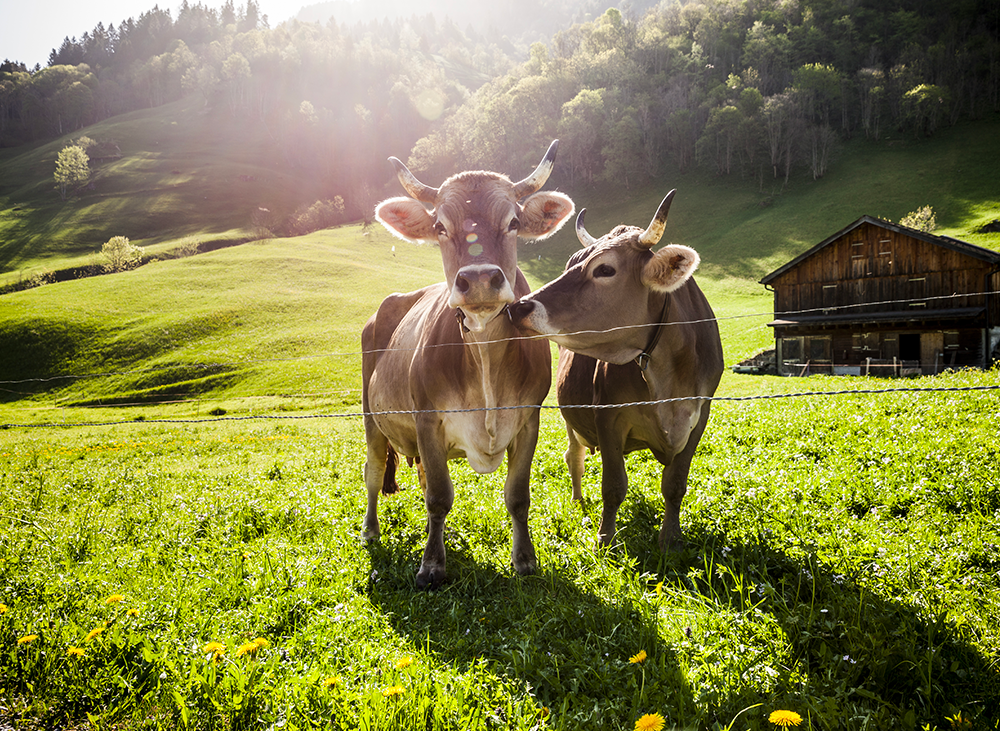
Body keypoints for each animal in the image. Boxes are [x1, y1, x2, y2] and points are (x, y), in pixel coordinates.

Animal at [364, 142, 576, 588]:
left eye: (513, 221)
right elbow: (439, 496)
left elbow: (518, 496)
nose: (478, 279)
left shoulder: (528, 420)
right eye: (440, 226)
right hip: (371, 418)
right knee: (373, 472)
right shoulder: (427, 419)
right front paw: (431, 565)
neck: (484, 356)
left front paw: (524, 559)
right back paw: (370, 530)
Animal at [512, 192, 724, 552]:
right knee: (574, 456)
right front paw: (605, 538)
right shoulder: (607, 415)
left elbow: (675, 484)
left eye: (605, 269)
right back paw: (578, 502)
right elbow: (613, 486)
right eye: (571, 264)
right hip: (571, 418)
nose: (518, 307)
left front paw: (671, 538)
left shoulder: (699, 416)